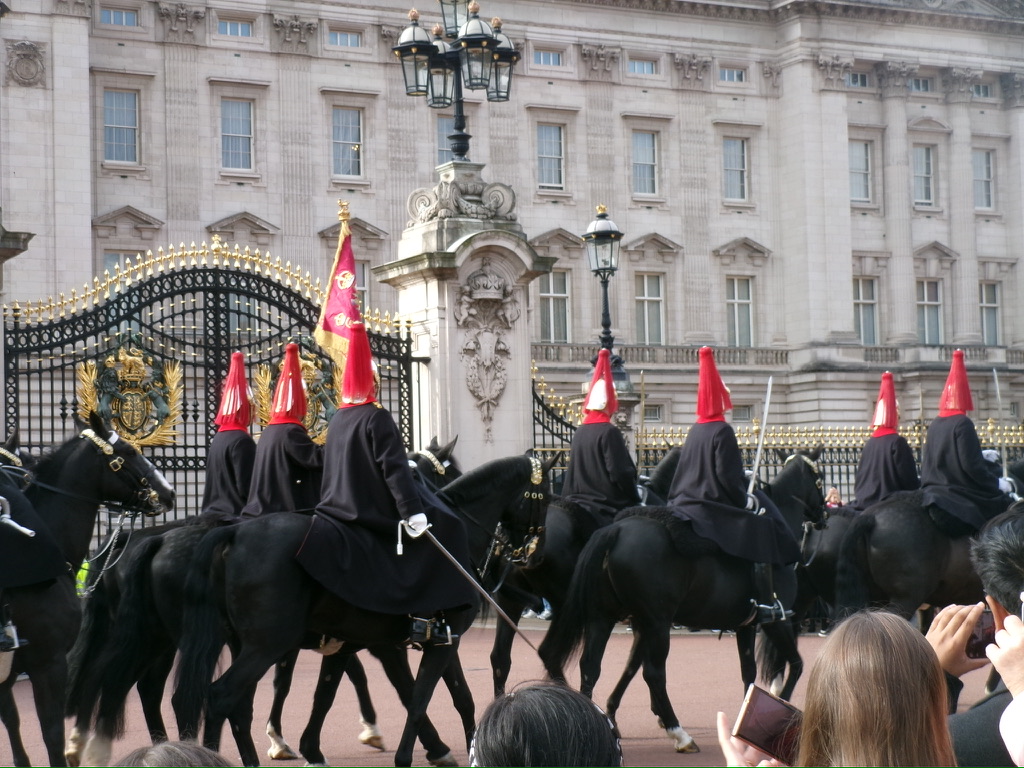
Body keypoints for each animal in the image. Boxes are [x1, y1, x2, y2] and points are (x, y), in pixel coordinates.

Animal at [65, 438, 461, 767]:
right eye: (448, 470)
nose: (447, 505)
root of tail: (146, 539)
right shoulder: (374, 638)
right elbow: (409, 686)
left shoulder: (333, 638)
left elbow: (317, 683)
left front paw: (292, 740)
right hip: (179, 639)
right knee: (146, 686)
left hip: (157, 635)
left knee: (121, 680)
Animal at [171, 451, 556, 768]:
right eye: (547, 497)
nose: (534, 556)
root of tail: (234, 533)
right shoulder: (437, 640)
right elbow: (420, 696)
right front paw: (418, 753)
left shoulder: (425, 638)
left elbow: (333, 694)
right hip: (268, 644)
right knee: (221, 697)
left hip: (248, 644)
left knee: (240, 704)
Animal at [538, 450, 825, 754]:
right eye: (819, 478)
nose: (823, 516)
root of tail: (615, 530)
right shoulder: (777, 619)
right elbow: (796, 664)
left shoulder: (745, 624)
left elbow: (748, 672)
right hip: (657, 622)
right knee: (653, 673)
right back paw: (679, 733)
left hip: (603, 617)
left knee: (589, 665)